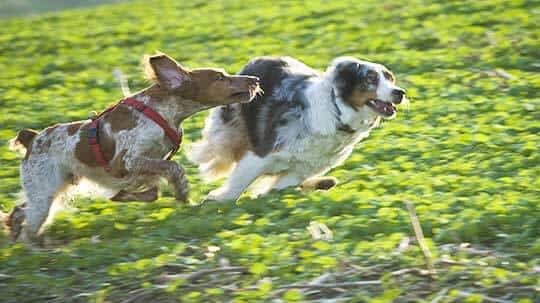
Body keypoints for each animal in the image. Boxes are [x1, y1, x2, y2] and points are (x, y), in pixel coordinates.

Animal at [5, 52, 260, 242]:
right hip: (43, 196)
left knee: (18, 211)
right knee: (29, 229)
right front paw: (182, 192)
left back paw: (13, 230)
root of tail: (33, 138)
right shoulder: (124, 161)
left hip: (48, 189)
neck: (160, 111)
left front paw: (127, 195)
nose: (255, 80)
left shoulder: (144, 165)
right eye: (220, 77)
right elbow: (174, 169)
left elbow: (152, 189)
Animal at [190, 55, 404, 203]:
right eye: (370, 79)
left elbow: (282, 185)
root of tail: (258, 59)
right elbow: (238, 182)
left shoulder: (305, 167)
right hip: (229, 132)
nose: (400, 92)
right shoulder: (262, 154)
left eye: (390, 79)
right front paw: (218, 199)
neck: (337, 112)